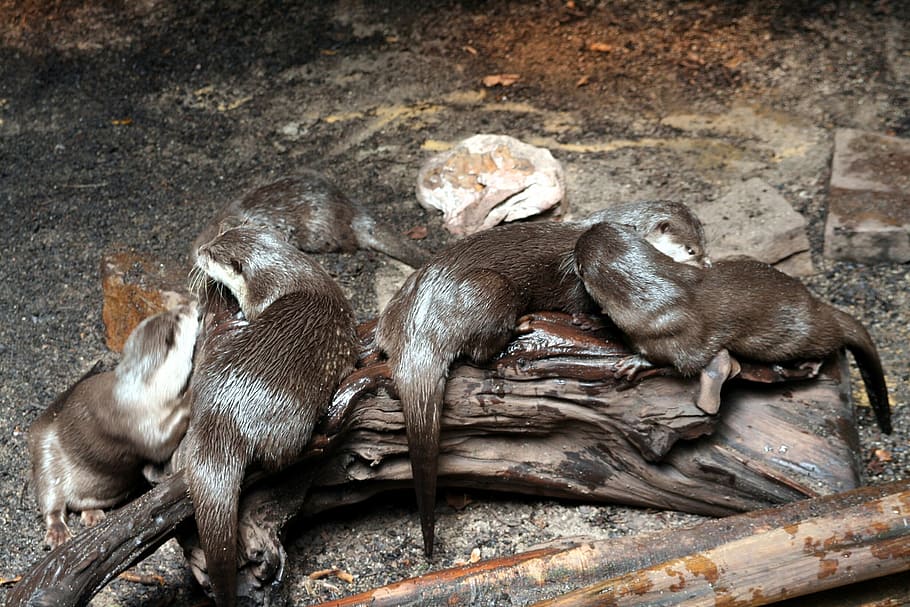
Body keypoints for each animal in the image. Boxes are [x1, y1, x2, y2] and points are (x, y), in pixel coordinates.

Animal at [28, 303, 199, 549]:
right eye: (178, 316)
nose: (192, 304)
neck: (135, 391)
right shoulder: (133, 425)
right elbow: (160, 442)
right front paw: (191, 390)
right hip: (45, 458)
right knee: (51, 500)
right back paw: (58, 531)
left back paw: (93, 515)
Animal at [374, 200, 708, 557]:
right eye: (690, 250)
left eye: (704, 243)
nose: (707, 263)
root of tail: (420, 328)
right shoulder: (582, 282)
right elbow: (586, 310)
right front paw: (593, 323)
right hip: (492, 288)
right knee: (479, 351)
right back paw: (519, 327)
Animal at [573, 221, 892, 433]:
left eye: (578, 250)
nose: (583, 232)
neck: (653, 290)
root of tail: (818, 305)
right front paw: (591, 320)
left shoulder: (676, 331)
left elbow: (679, 359)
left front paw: (635, 362)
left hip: (800, 335)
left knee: (830, 342)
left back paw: (807, 365)